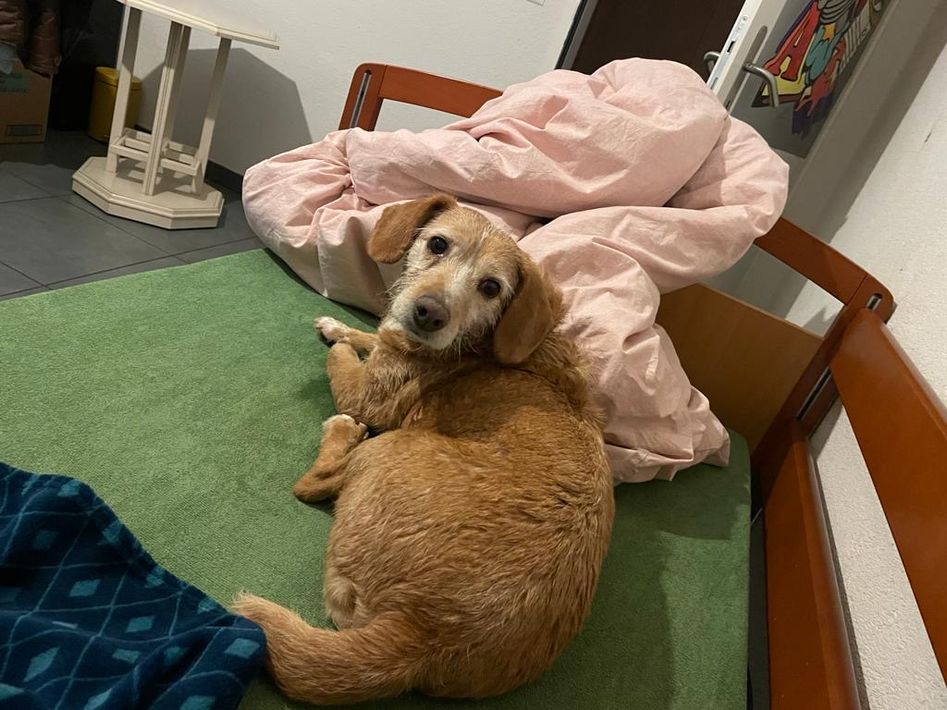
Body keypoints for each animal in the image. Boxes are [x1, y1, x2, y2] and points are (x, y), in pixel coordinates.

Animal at [233, 194, 614, 705]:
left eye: (491, 287)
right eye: (437, 244)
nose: (428, 313)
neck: (480, 343)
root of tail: (423, 636)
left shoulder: (366, 394)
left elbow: (346, 361)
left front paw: (341, 345)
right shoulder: (392, 334)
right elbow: (370, 332)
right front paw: (337, 323)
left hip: (390, 446)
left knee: (313, 483)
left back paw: (342, 433)